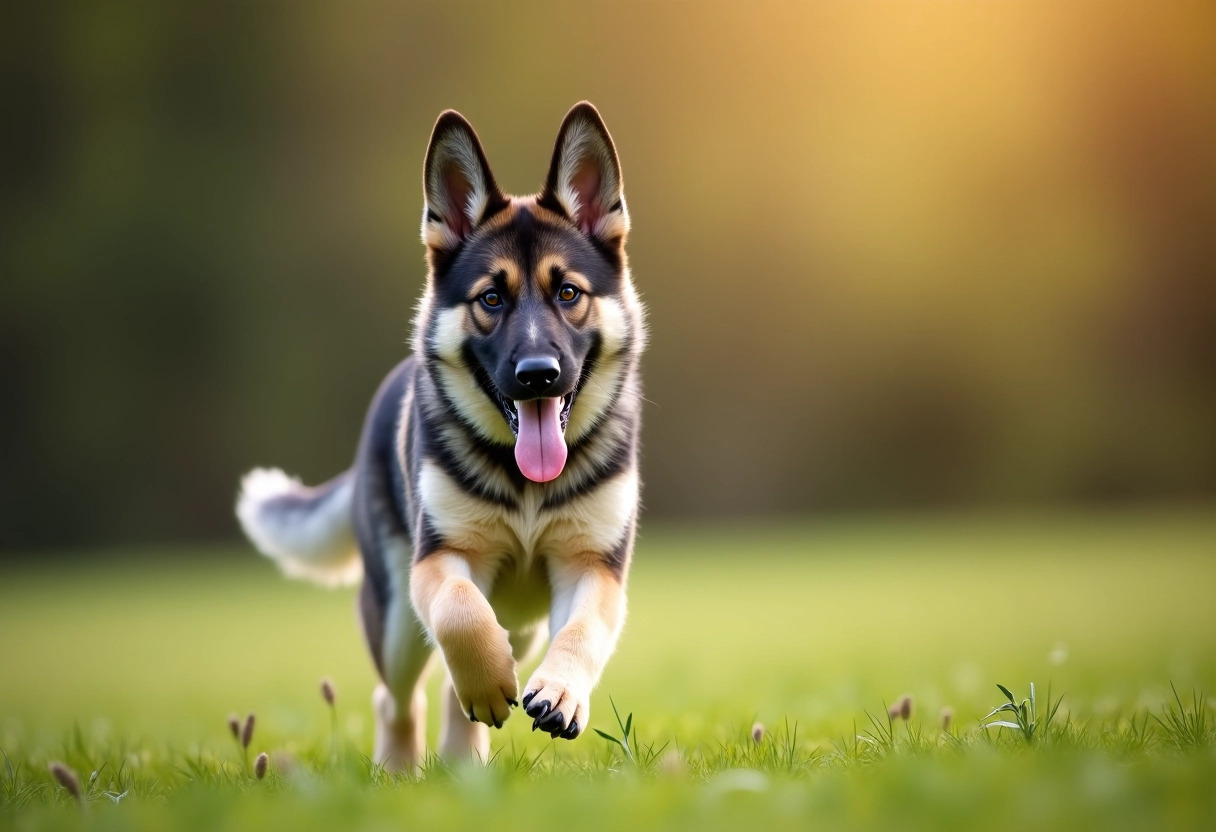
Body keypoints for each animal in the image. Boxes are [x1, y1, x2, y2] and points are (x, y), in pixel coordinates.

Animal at [231, 104, 642, 773]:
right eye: (491, 298)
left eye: (569, 293)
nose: (538, 375)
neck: (526, 484)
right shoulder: (438, 560)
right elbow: (458, 612)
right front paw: (488, 681)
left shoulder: (591, 567)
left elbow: (580, 631)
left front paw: (558, 693)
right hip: (398, 616)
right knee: (397, 697)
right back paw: (401, 767)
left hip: (521, 623)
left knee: (461, 686)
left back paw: (464, 761)